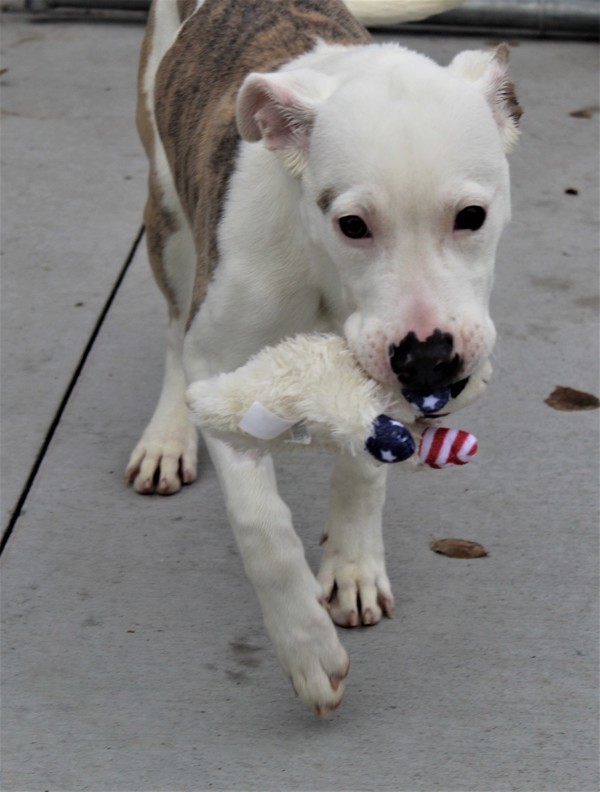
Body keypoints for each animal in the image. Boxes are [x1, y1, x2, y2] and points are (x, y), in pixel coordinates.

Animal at [127, 0, 520, 716]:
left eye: (472, 216)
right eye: (352, 225)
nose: (429, 360)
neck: (321, 270)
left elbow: (366, 466)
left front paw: (355, 565)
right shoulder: (221, 361)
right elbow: (261, 525)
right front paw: (305, 646)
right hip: (166, 214)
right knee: (173, 330)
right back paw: (168, 436)